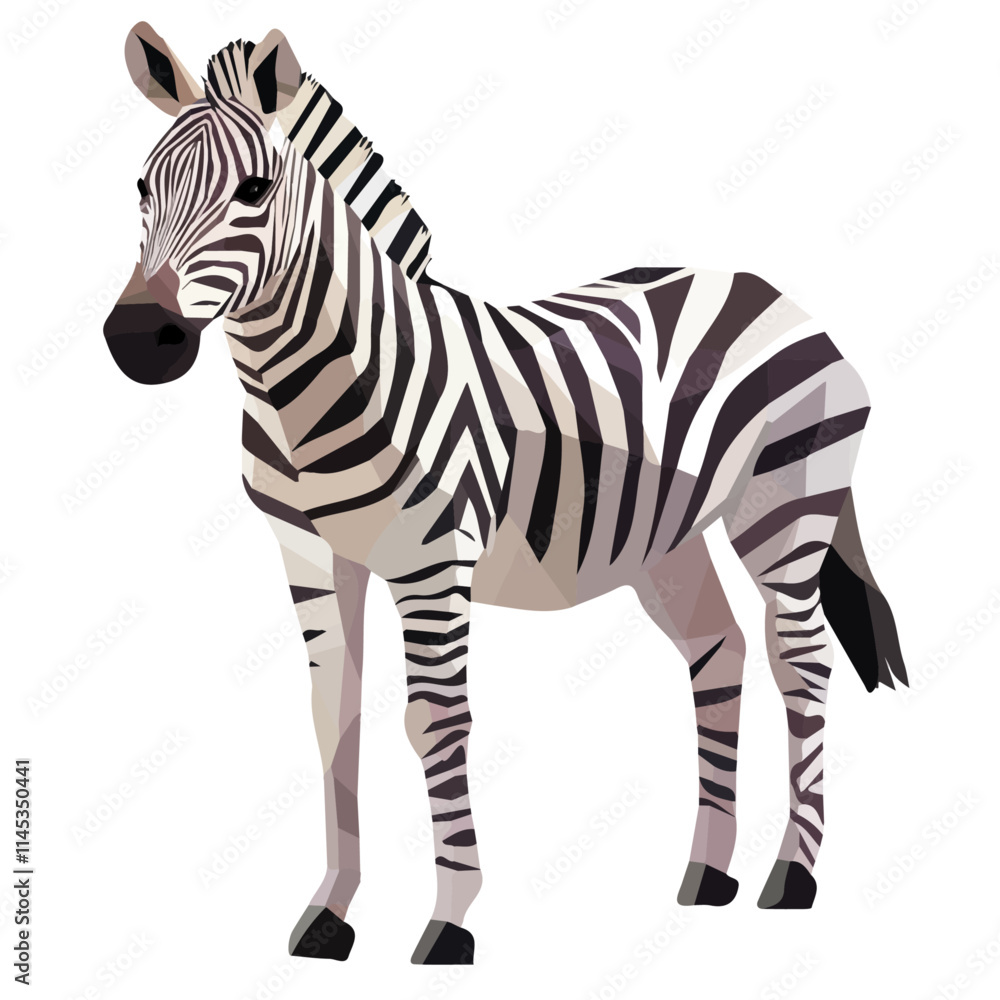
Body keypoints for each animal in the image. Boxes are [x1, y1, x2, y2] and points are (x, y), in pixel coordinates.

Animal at [103, 23, 908, 965]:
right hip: (665, 540)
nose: (138, 338)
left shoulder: (432, 560)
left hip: (784, 506)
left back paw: (794, 875)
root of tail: (773, 292)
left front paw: (450, 920)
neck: (314, 379)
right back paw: (709, 874)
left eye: (255, 190)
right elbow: (333, 719)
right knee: (718, 649)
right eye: (143, 186)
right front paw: (330, 914)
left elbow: (434, 722)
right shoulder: (310, 556)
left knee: (800, 663)